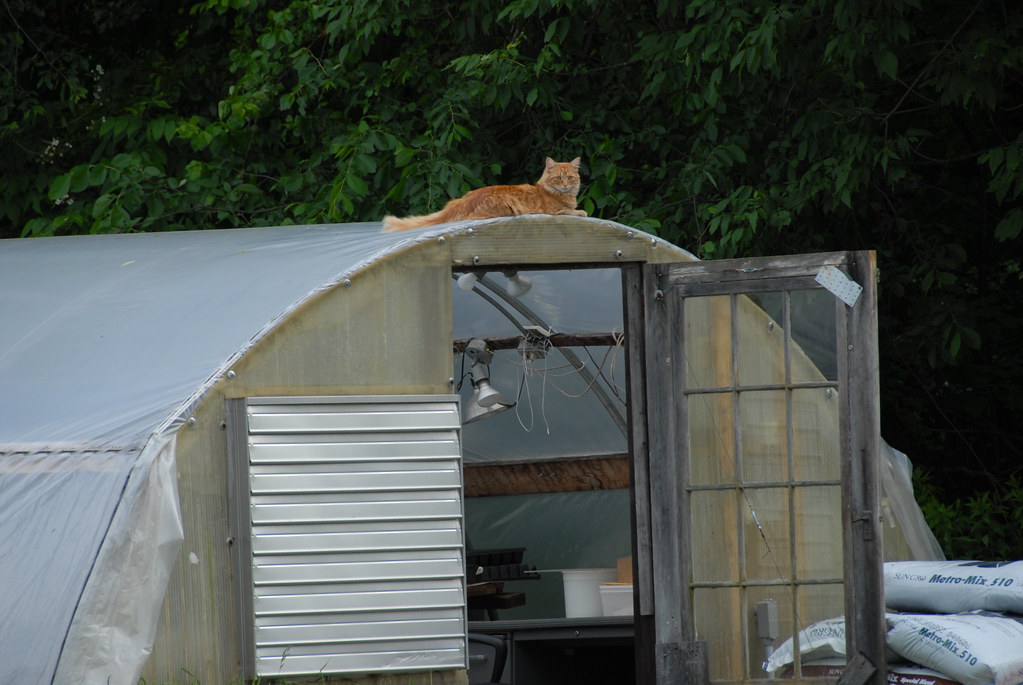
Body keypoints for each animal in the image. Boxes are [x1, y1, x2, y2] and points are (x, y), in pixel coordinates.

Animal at [380, 157, 589, 232]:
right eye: (558, 178)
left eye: (570, 178)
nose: (565, 185)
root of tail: (461, 201)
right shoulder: (555, 211)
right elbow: (572, 211)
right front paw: (581, 212)